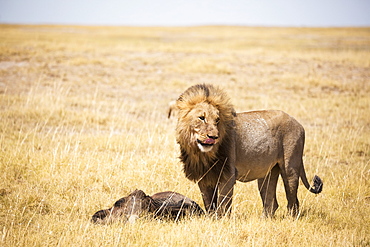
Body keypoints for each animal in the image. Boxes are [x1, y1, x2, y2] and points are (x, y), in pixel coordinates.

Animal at [175, 84, 322, 217]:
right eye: (201, 118)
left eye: (217, 120)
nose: (213, 137)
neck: (202, 154)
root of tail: (298, 123)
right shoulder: (204, 176)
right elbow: (209, 203)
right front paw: (211, 219)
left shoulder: (227, 174)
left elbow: (223, 204)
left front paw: (222, 221)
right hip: (268, 173)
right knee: (271, 203)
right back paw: (264, 221)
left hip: (290, 167)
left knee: (293, 200)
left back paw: (291, 219)